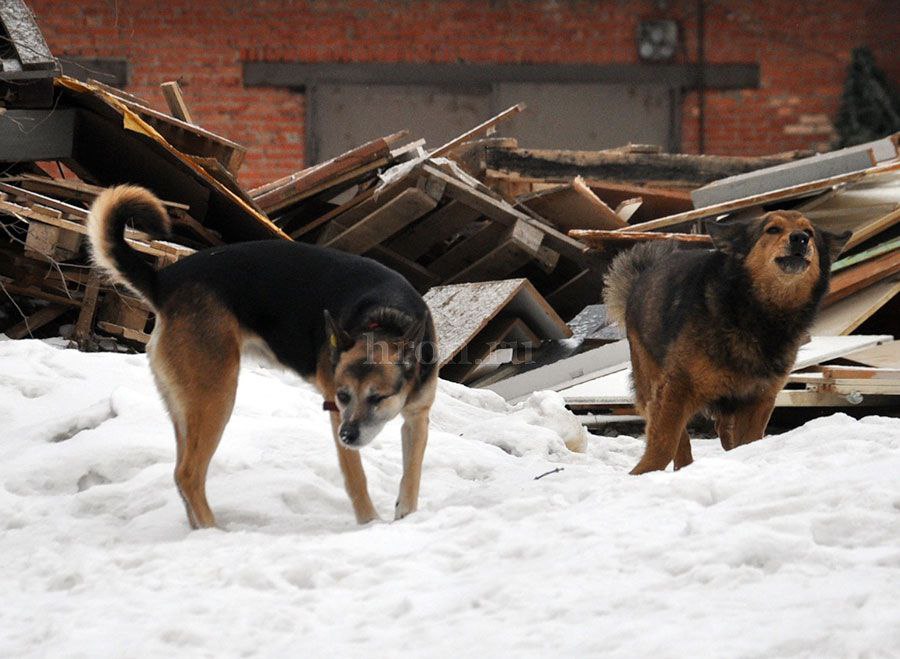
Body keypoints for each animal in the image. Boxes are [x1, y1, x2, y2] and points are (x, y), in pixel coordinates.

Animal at [90, 186, 440, 532]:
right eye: (343, 396)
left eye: (378, 397)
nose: (347, 436)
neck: (386, 320)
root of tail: (164, 282)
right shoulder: (336, 415)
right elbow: (356, 477)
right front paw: (370, 523)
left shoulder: (417, 417)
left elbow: (413, 474)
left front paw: (407, 516)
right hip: (216, 396)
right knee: (188, 474)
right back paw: (215, 530)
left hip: (184, 405)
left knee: (181, 472)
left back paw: (198, 530)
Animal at [604, 211, 852, 474]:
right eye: (772, 229)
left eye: (810, 232)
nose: (800, 239)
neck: (759, 314)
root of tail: (641, 276)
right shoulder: (677, 386)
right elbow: (665, 442)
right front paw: (642, 474)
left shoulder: (759, 397)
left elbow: (748, 440)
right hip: (650, 379)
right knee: (680, 435)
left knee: (722, 429)